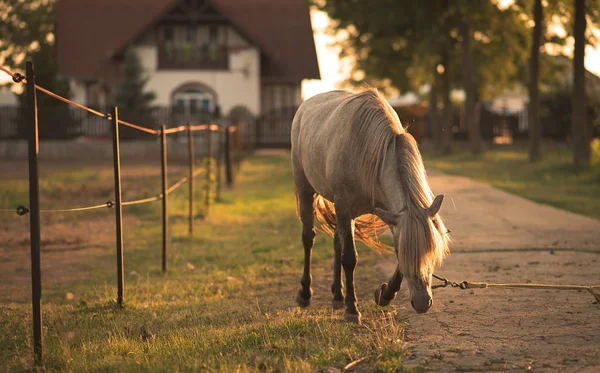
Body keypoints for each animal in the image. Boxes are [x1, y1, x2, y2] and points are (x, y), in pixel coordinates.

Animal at [290, 87, 450, 322]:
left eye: (431, 251)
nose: (422, 303)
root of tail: (304, 107)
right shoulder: (345, 207)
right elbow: (349, 258)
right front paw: (351, 310)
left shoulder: (391, 216)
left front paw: (385, 294)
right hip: (306, 189)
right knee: (308, 238)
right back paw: (305, 293)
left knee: (337, 242)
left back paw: (337, 295)